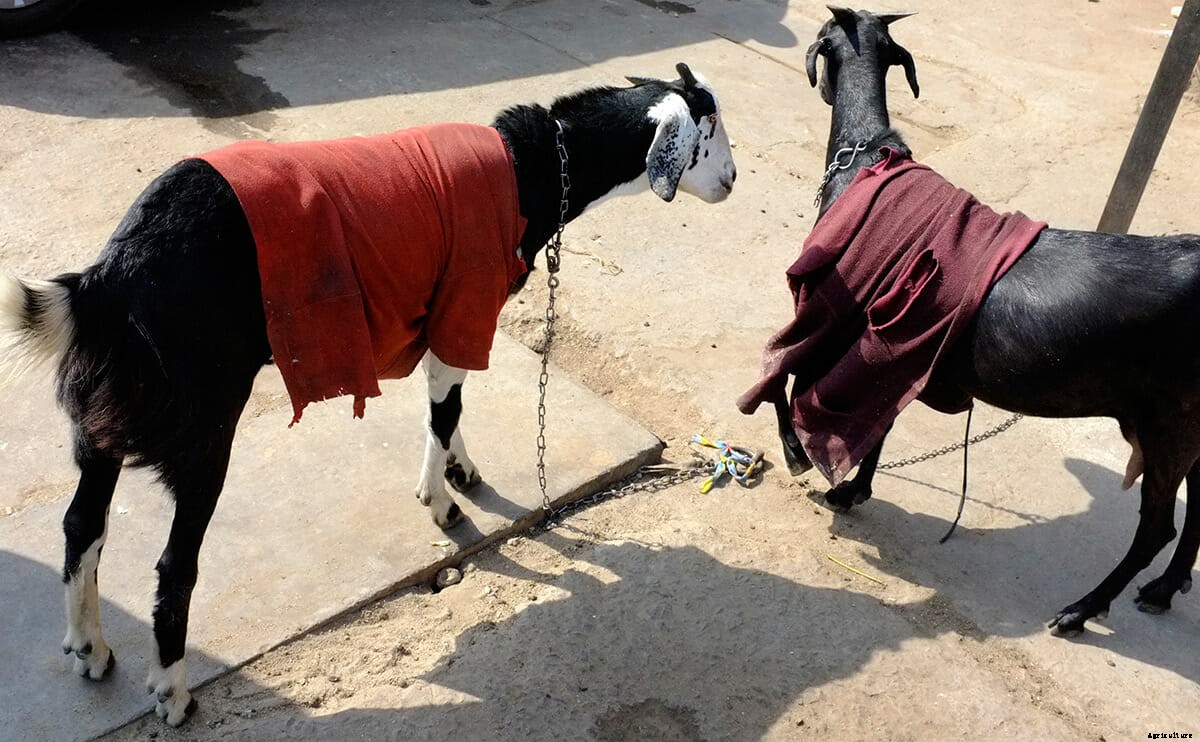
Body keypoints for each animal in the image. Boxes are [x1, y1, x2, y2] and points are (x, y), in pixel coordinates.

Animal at [0, 63, 736, 727]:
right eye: (707, 130)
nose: (731, 182)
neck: (533, 165)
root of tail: (108, 283)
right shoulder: (464, 298)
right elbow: (445, 408)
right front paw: (440, 503)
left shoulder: (439, 315)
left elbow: (447, 402)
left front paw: (462, 470)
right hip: (204, 426)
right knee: (173, 565)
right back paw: (173, 694)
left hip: (102, 419)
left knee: (82, 526)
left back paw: (90, 650)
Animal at [745, 6, 1198, 638]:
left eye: (820, 39)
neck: (867, 160)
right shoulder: (894, 341)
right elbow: (878, 416)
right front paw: (854, 490)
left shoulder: (837, 320)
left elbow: (782, 380)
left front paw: (797, 457)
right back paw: (1162, 588)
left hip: (1168, 422)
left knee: (1157, 526)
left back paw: (1083, 609)